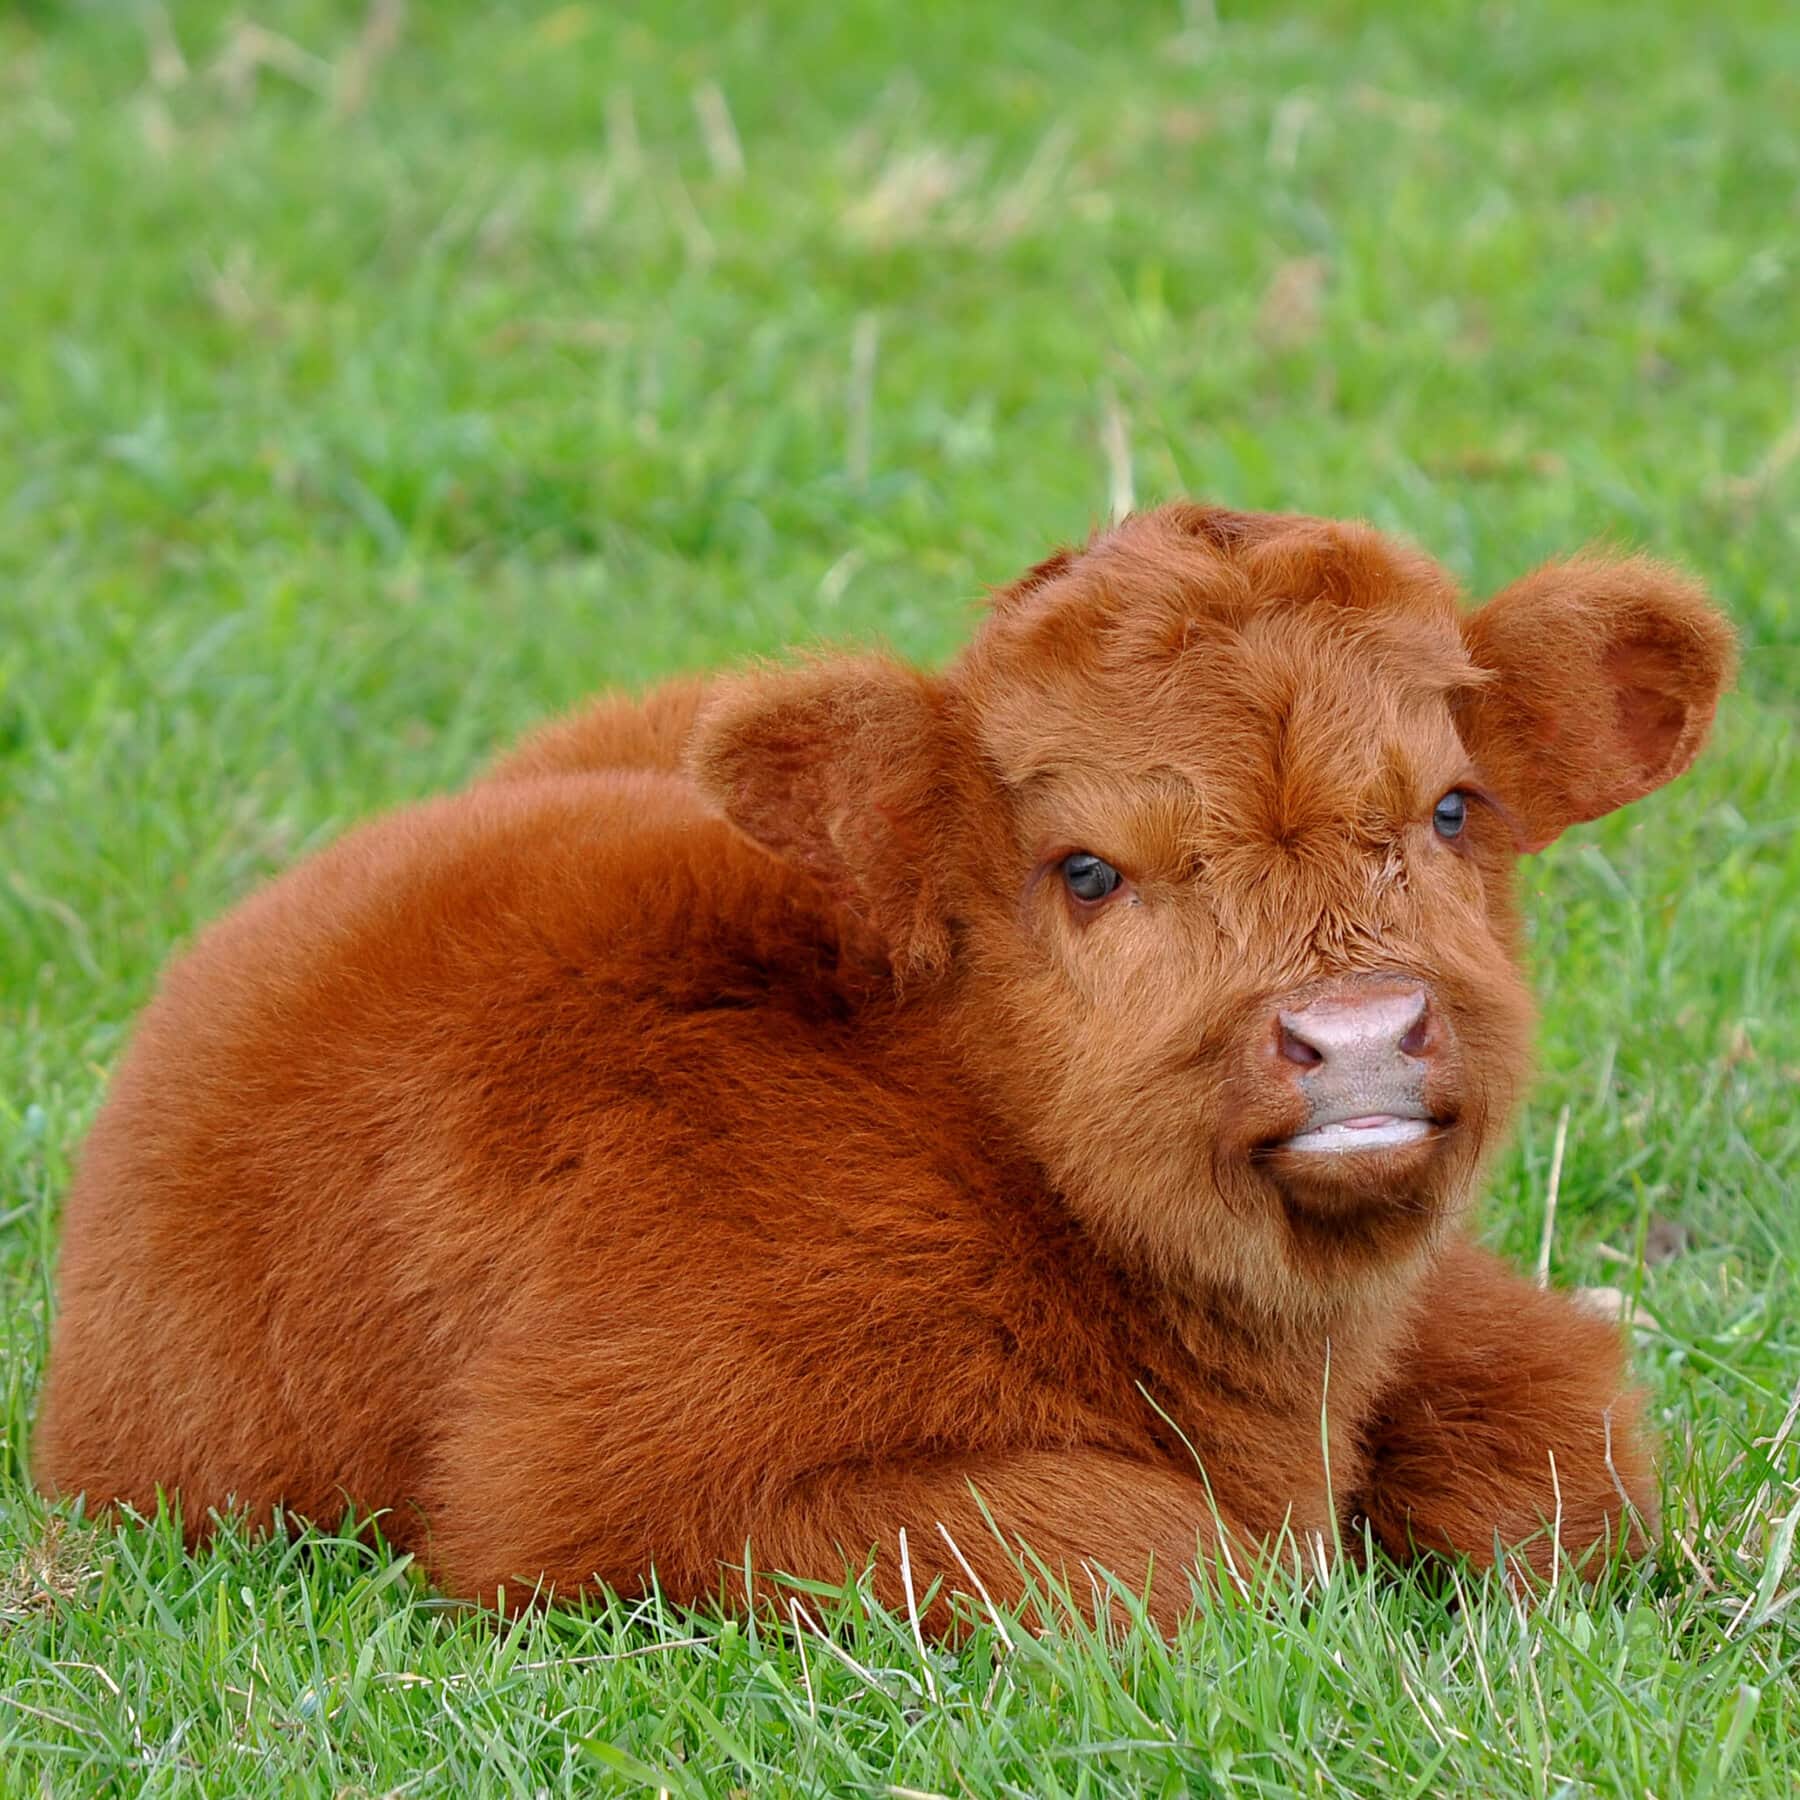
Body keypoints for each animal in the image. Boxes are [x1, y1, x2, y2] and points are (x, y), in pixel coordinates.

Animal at [35, 504, 1735, 1634]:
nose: (1361, 1031)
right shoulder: (610, 1490)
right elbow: (1165, 1556)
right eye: (1087, 870)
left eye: (1451, 809)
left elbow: (1569, 1448)